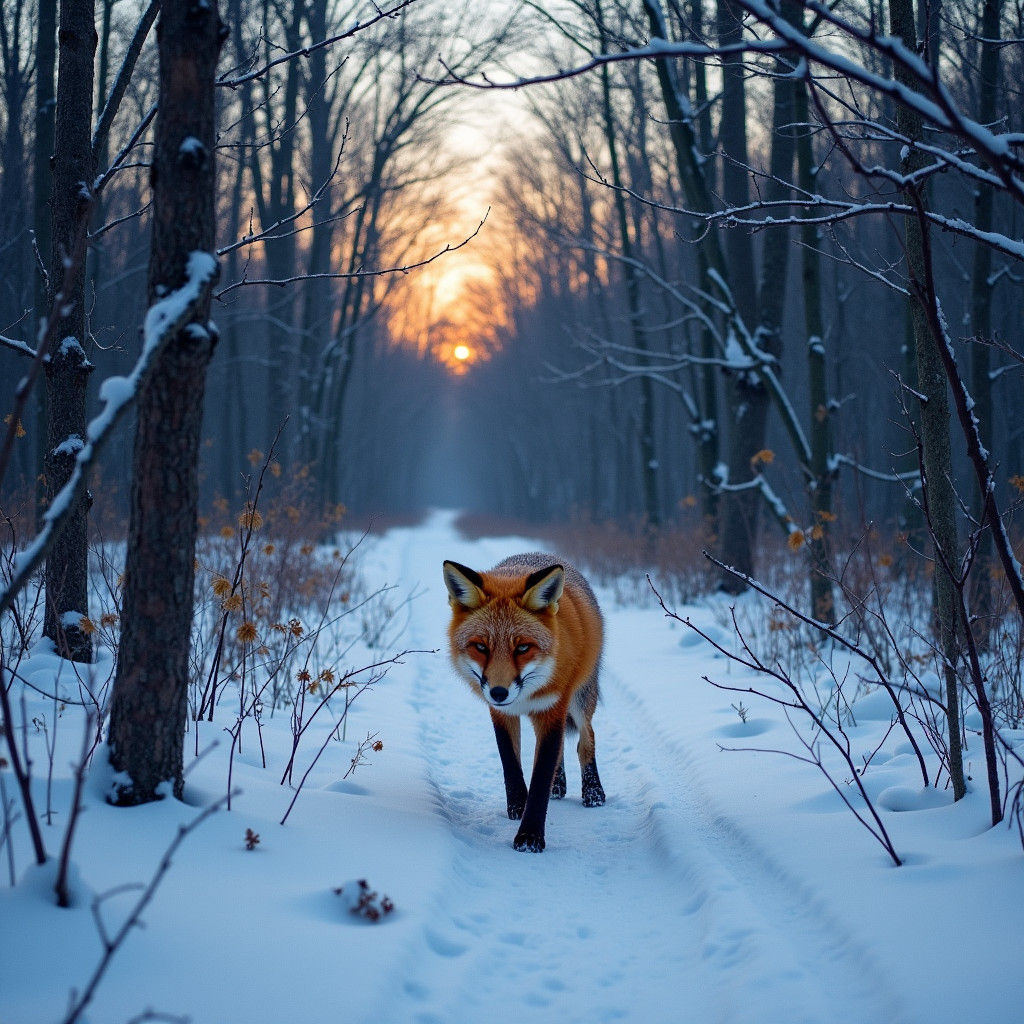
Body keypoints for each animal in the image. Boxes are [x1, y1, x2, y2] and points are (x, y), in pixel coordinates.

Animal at [443, 553, 606, 852]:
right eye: (481, 647)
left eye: (522, 647)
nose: (499, 693)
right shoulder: (501, 713)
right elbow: (510, 760)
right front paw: (518, 804)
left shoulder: (554, 707)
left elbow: (541, 774)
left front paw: (530, 837)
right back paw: (559, 785)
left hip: (579, 702)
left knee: (586, 739)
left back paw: (593, 791)